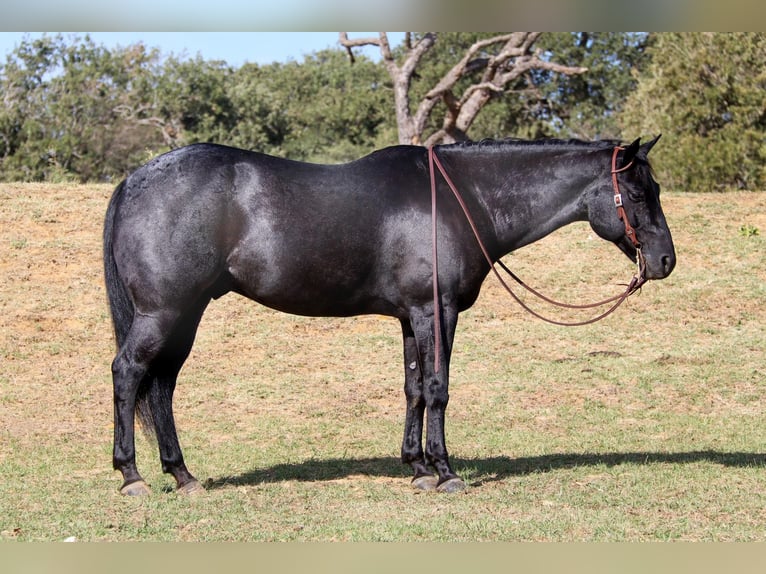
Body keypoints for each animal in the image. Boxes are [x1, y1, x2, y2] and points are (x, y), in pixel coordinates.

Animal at [103, 137, 680, 498]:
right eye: (637, 192)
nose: (665, 261)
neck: (462, 199)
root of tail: (135, 179)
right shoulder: (435, 311)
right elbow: (438, 388)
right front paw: (445, 471)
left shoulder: (409, 317)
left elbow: (413, 388)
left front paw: (417, 467)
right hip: (164, 313)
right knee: (129, 374)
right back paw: (132, 476)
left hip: (185, 316)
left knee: (161, 387)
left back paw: (183, 476)